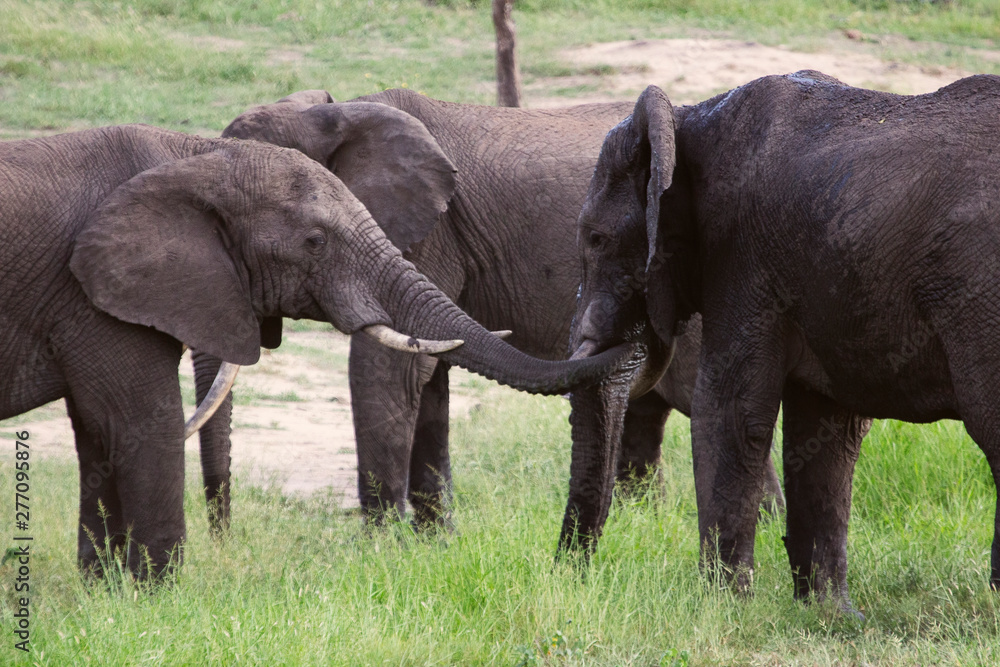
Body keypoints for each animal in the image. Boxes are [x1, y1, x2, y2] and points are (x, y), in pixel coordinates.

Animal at [0, 125, 624, 580]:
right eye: (315, 242)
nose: (225, 538)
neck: (194, 155)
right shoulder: (90, 294)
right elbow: (140, 424)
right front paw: (158, 599)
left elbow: (97, 432)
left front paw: (107, 593)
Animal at [213, 88, 788, 528]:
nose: (224, 535)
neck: (328, 113)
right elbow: (428, 374)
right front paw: (435, 545)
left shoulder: (425, 232)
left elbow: (392, 368)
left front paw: (381, 550)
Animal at [568, 72, 1000, 616]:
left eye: (596, 239)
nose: (572, 572)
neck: (691, 119)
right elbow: (827, 429)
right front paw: (830, 615)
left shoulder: (743, 261)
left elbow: (728, 410)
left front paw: (724, 607)